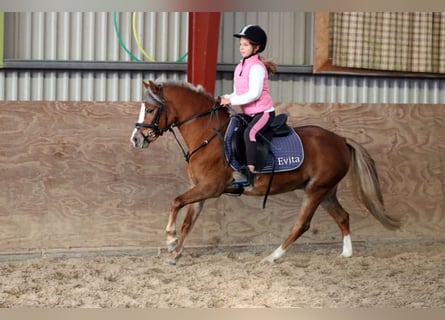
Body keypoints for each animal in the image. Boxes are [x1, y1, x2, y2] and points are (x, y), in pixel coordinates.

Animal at [130, 80, 400, 264]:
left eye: (151, 109)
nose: (136, 140)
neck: (207, 135)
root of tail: (340, 139)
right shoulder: (200, 190)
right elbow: (188, 221)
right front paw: (175, 253)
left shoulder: (209, 188)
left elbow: (175, 202)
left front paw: (170, 238)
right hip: (326, 191)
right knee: (343, 217)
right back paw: (346, 253)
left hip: (316, 191)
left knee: (302, 224)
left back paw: (273, 256)